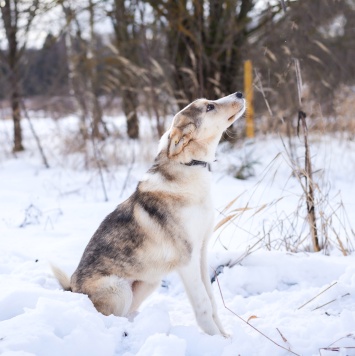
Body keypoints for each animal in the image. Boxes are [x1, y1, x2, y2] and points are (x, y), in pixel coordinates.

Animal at [52, 92, 246, 336]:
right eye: (209, 107)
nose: (240, 93)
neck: (189, 166)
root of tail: (72, 289)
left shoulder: (201, 253)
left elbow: (211, 301)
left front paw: (224, 337)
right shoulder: (188, 261)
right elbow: (203, 305)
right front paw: (214, 338)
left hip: (148, 283)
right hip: (119, 290)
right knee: (111, 319)